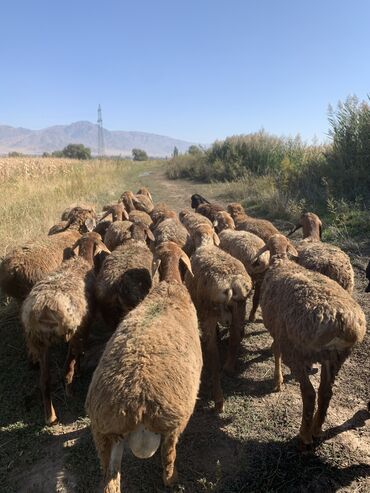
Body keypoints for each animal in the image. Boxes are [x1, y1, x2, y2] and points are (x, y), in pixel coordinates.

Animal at [21, 231, 110, 422]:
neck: (83, 261)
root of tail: (44, 309)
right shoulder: (84, 327)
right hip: (71, 332)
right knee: (67, 367)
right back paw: (70, 391)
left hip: (39, 341)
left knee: (44, 380)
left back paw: (50, 416)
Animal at [86, 240, 202, 490]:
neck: (169, 285)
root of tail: (134, 404)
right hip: (171, 426)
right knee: (168, 463)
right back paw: (173, 480)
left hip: (103, 436)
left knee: (110, 481)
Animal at [186, 223, 253, 412]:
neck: (206, 244)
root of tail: (231, 285)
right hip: (239, 309)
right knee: (235, 337)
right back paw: (229, 367)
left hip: (207, 315)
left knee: (213, 357)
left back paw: (218, 399)